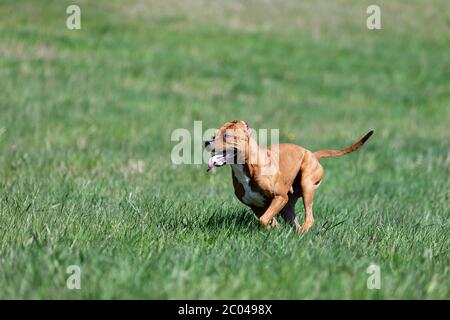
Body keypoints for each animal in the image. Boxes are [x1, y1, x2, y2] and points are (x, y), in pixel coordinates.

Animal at [205, 120, 372, 232]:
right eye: (214, 136)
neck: (247, 167)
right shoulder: (256, 205)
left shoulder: (280, 197)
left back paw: (304, 231)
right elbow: (267, 219)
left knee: (309, 217)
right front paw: (275, 229)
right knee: (293, 221)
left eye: (227, 135)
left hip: (307, 185)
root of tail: (312, 154)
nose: (206, 142)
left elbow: (264, 220)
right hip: (288, 205)